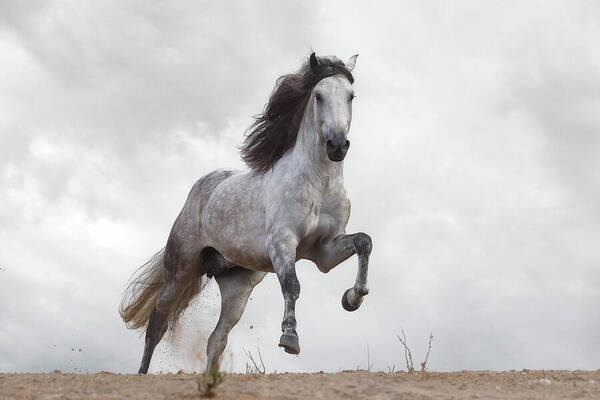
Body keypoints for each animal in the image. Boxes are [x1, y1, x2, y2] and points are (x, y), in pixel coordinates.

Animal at [120, 51, 372, 374]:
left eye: (351, 96)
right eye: (318, 95)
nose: (337, 145)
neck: (320, 182)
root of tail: (200, 190)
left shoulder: (324, 252)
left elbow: (364, 241)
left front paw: (352, 298)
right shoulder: (282, 242)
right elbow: (292, 285)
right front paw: (289, 338)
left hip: (237, 287)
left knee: (216, 339)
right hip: (180, 270)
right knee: (156, 323)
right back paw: (141, 374)